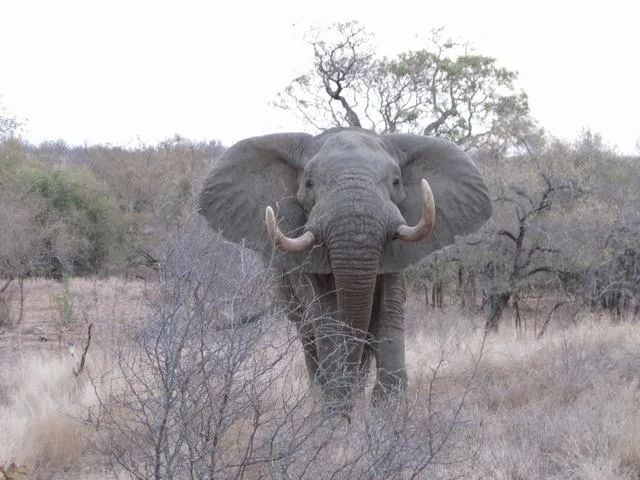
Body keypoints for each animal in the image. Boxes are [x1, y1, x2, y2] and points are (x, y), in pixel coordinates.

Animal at [198, 127, 492, 412]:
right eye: (309, 184)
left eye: (396, 182)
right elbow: (327, 317)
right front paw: (336, 413)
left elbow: (388, 312)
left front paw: (387, 414)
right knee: (307, 333)